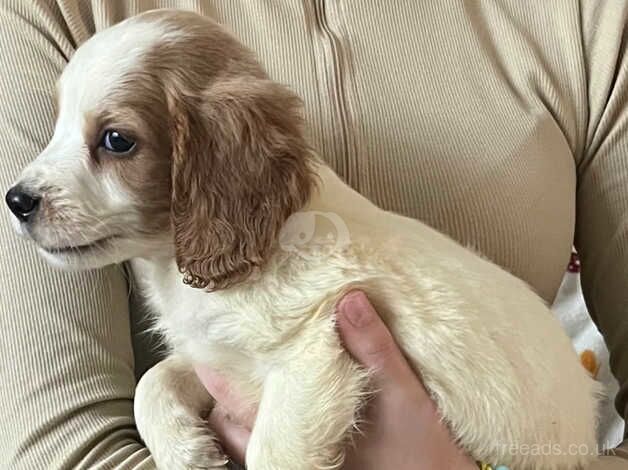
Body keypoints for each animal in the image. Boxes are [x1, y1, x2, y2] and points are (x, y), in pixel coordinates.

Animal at [4, 8, 600, 470]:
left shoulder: (311, 353)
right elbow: (153, 380)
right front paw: (184, 451)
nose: (15, 200)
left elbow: (271, 453)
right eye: (58, 126)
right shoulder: (217, 356)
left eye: (116, 140)